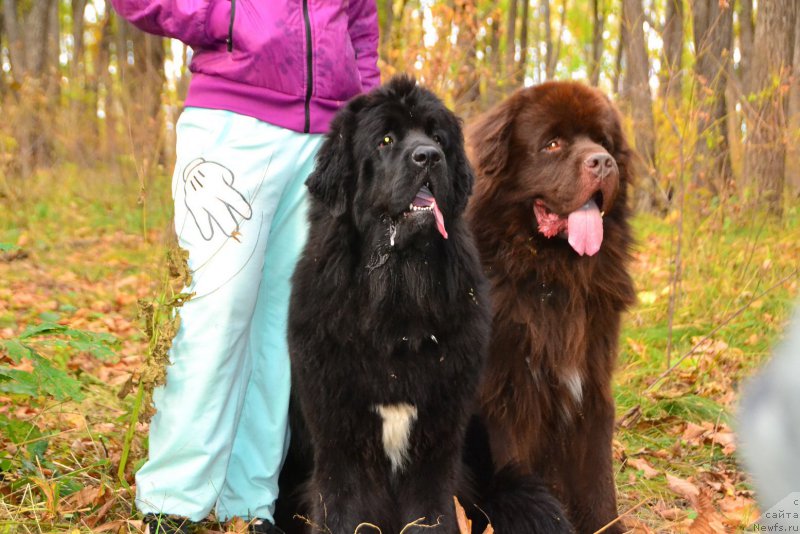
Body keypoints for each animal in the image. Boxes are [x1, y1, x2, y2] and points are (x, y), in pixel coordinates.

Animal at [466, 80, 636, 534]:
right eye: (553, 144)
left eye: (604, 142)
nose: (603, 162)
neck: (554, 278)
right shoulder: (503, 397)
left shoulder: (592, 385)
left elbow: (598, 481)